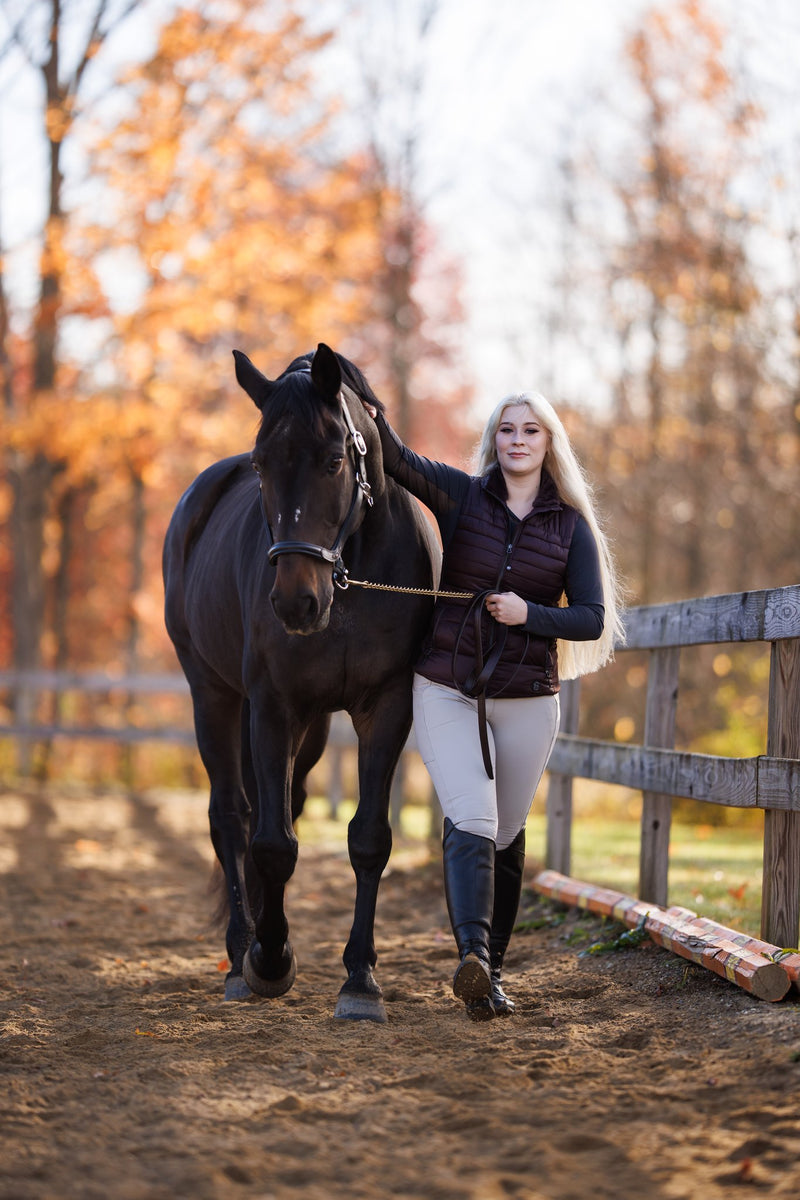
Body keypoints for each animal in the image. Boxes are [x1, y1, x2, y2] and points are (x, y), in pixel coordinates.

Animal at [161, 340, 438, 1022]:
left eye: (335, 459)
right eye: (261, 465)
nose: (294, 602)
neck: (350, 581)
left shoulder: (385, 708)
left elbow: (367, 839)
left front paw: (360, 981)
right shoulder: (271, 706)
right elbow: (270, 843)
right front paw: (268, 960)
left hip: (310, 728)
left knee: (283, 805)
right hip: (213, 697)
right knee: (230, 817)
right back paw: (242, 951)